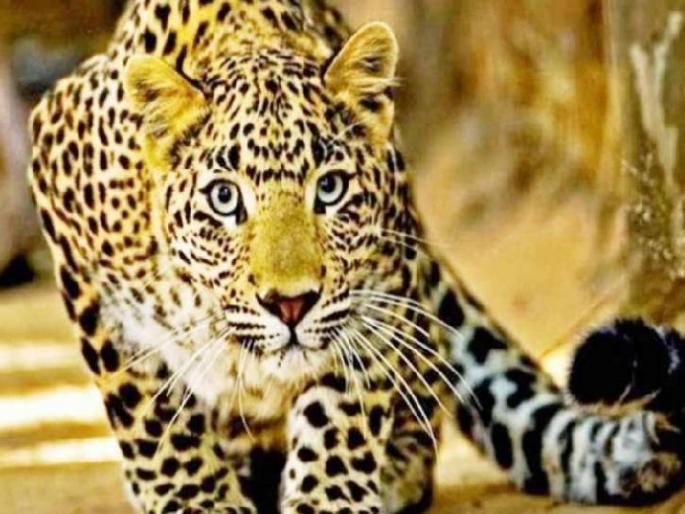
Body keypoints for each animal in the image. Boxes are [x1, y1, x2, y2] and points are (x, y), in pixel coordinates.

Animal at [28, 1, 685, 513]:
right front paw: (195, 498)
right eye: (224, 198)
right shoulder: (62, 195)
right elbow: (146, 406)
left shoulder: (381, 281)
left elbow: (341, 404)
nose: (290, 305)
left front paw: (329, 496)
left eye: (330, 189)